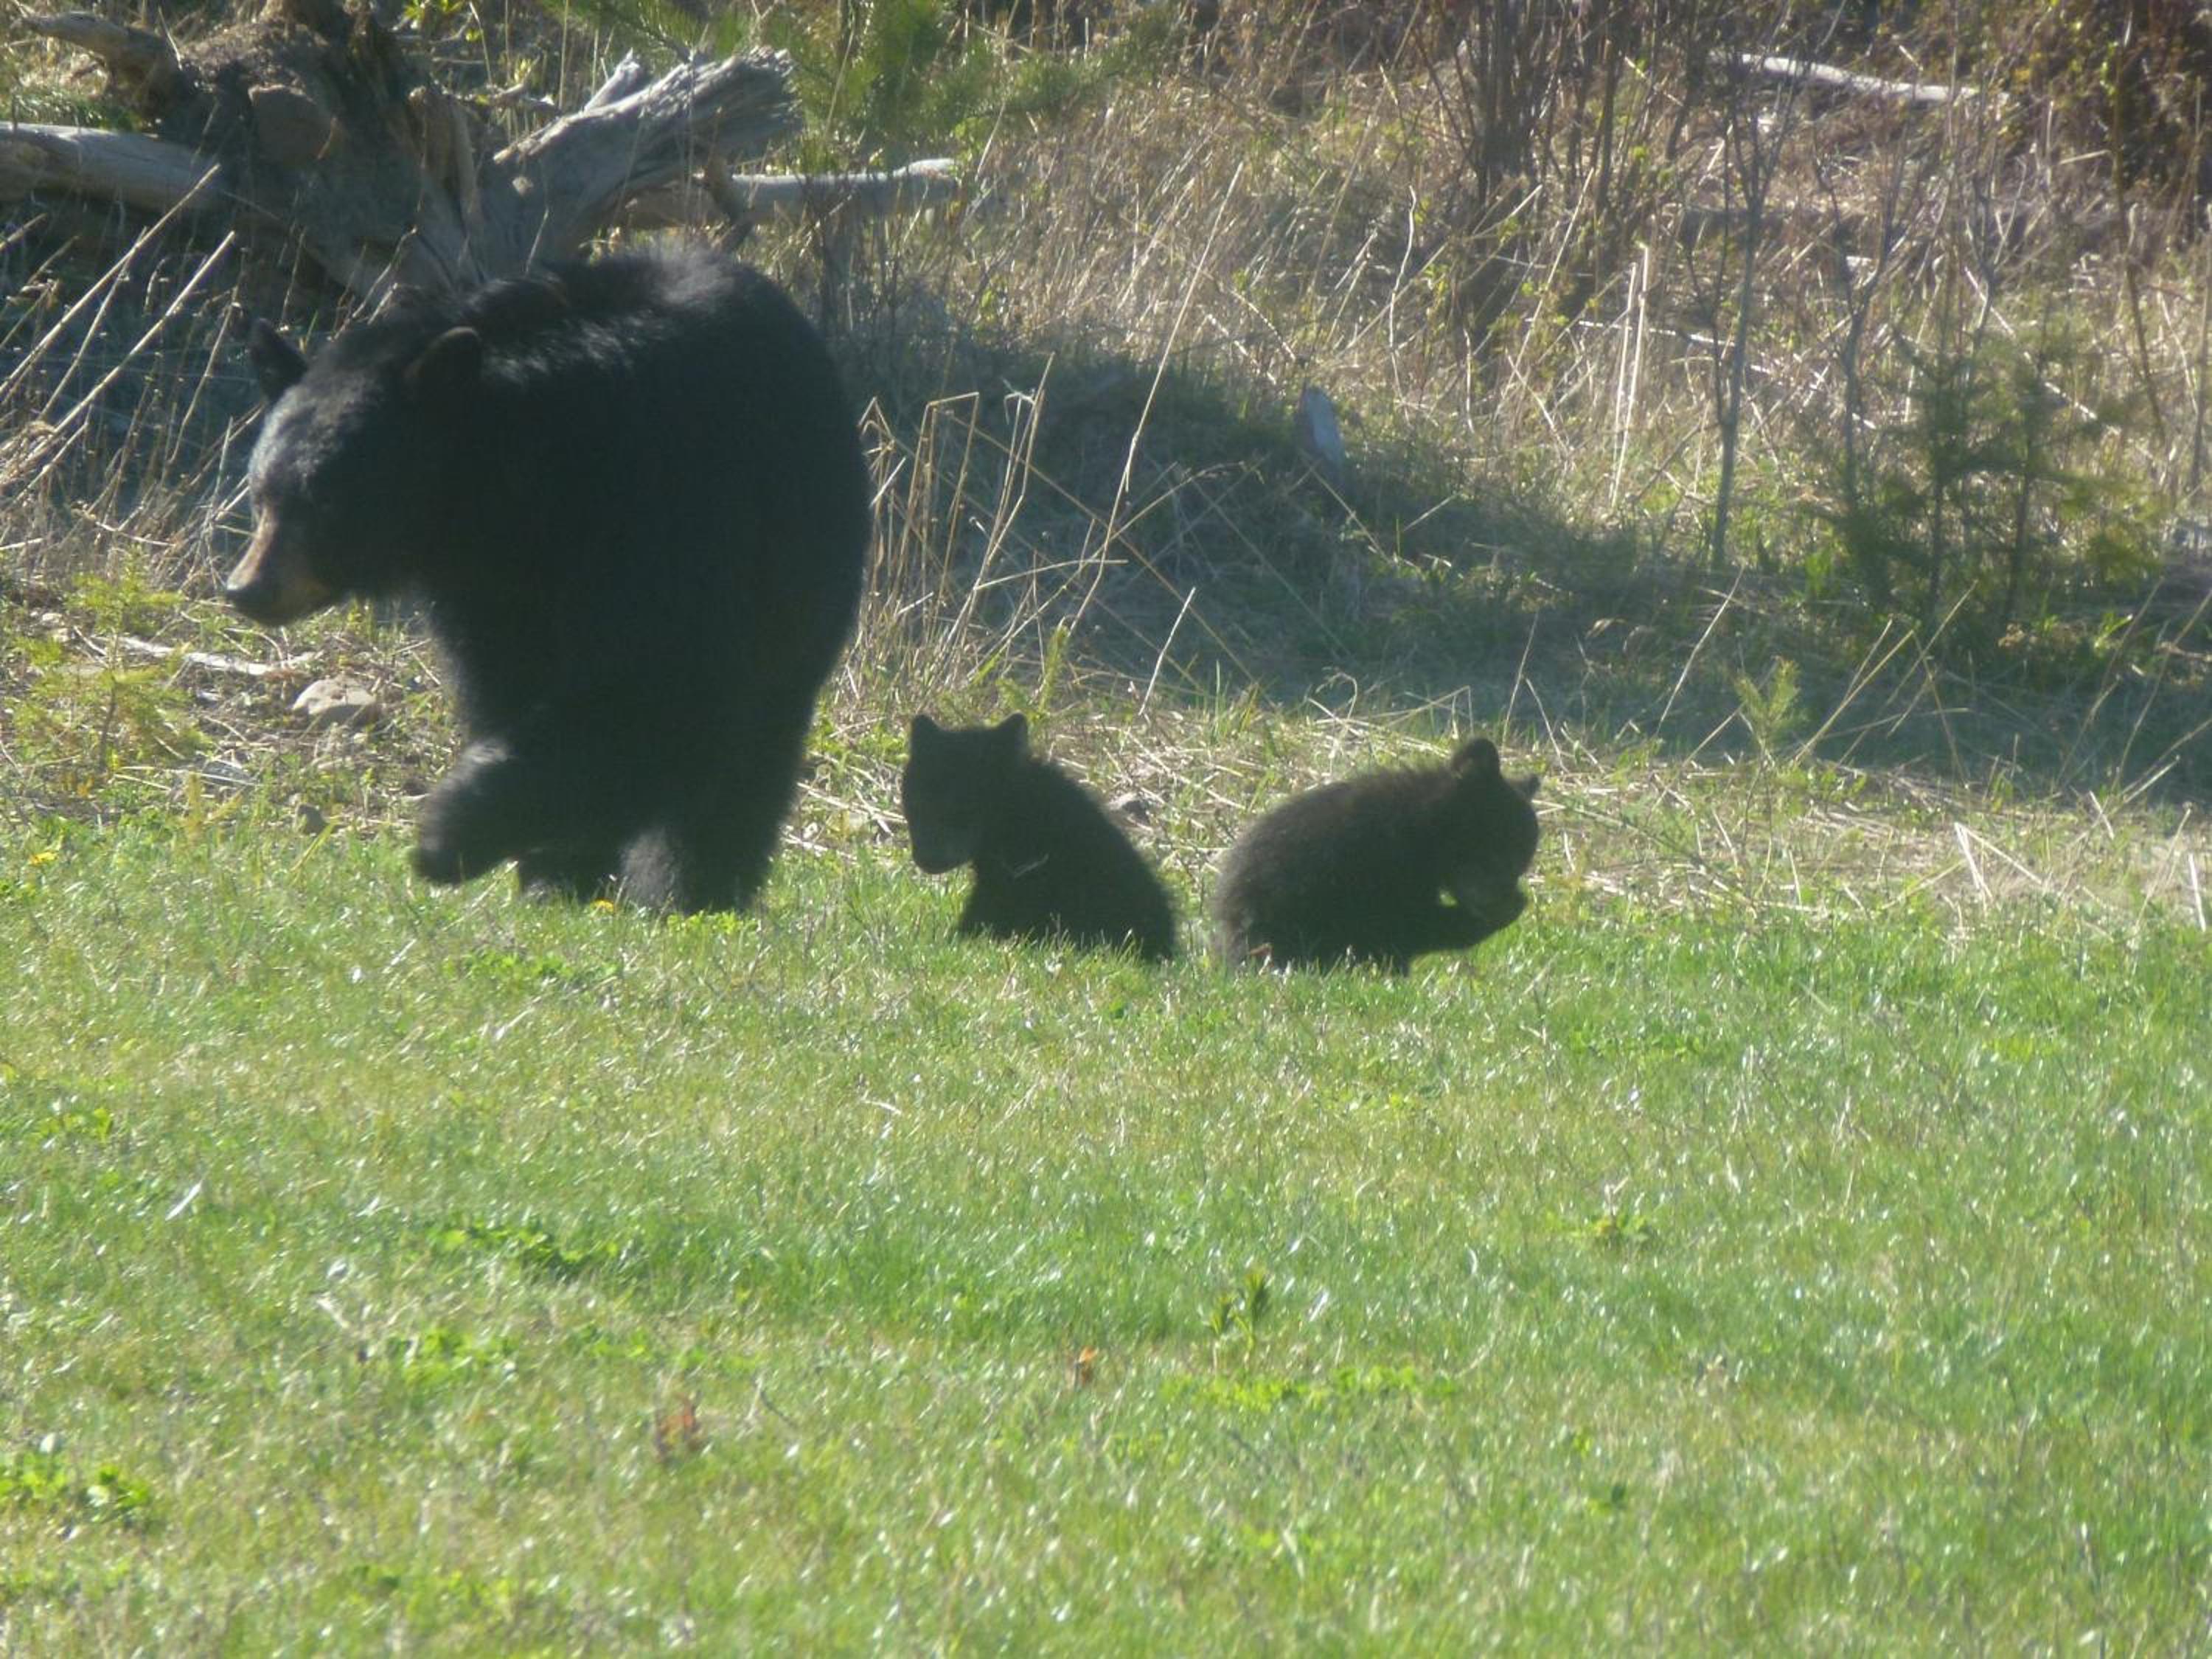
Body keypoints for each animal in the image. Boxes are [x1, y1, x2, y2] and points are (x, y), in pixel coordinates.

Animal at [226, 244, 871, 913]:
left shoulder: (664, 504)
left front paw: (451, 833)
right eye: (262, 493)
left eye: (325, 502)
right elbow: (509, 692)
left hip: (801, 573)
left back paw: (691, 889)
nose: (247, 588)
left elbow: (658, 686)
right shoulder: (482, 590)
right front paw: (547, 867)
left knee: (746, 752)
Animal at [1212, 735, 1539, 974]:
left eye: (1519, 865)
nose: (1504, 898)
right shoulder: (1379, 863)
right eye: (1497, 852)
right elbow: (1407, 923)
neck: (1426, 832)